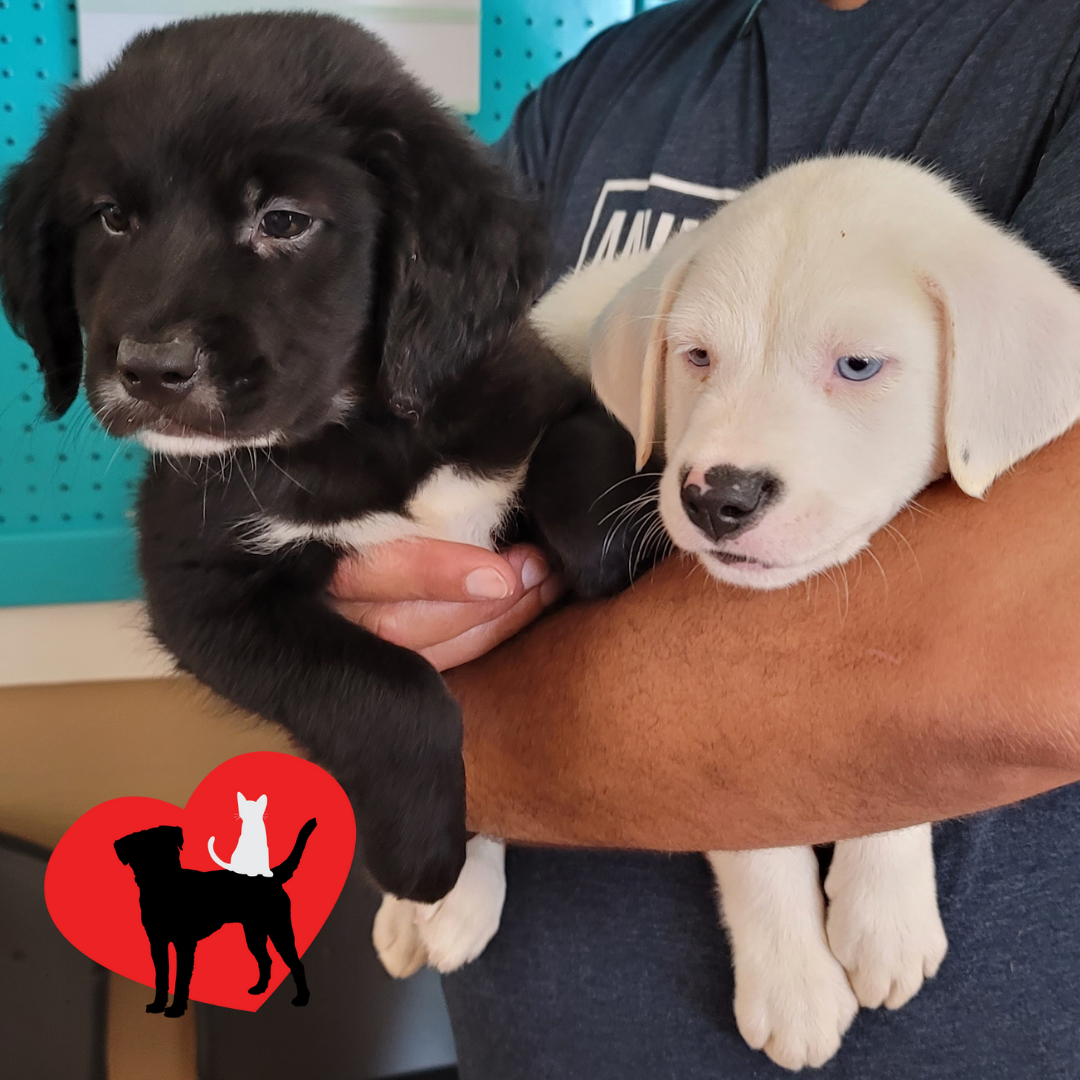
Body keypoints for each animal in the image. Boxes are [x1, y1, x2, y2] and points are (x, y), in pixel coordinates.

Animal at [0, 12, 656, 902]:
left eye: (283, 221)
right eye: (109, 218)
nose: (150, 369)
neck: (362, 433)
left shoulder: (544, 393)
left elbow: (579, 458)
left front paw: (607, 553)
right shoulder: (202, 590)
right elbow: (390, 688)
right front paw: (421, 855)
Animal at [115, 820, 315, 1015]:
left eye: (171, 852)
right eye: (141, 857)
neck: (164, 894)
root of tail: (270, 876)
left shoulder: (184, 944)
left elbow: (181, 979)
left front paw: (176, 1009)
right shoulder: (157, 943)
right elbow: (161, 977)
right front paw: (158, 1006)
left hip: (279, 930)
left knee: (296, 964)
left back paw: (302, 999)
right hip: (254, 934)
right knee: (265, 960)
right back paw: (259, 988)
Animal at [535, 152, 1080, 1071]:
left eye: (858, 366)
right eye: (697, 358)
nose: (718, 498)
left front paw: (882, 914)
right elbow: (750, 836)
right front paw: (790, 980)